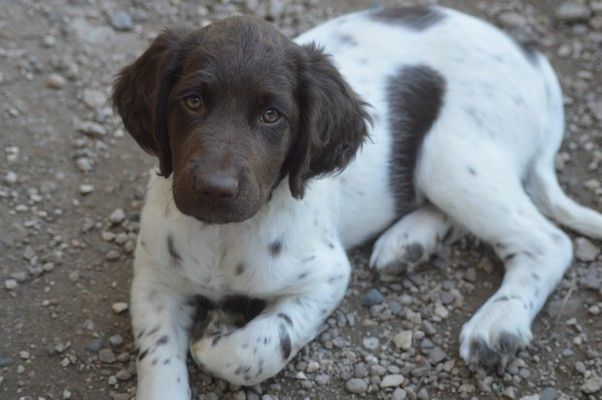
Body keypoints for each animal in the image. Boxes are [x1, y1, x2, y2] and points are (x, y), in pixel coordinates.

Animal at [111, 4, 600, 398]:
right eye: (192, 101)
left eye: (271, 115)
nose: (214, 187)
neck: (222, 235)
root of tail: (531, 58)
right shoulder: (155, 279)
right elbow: (158, 359)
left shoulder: (326, 275)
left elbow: (258, 349)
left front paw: (214, 337)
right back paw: (409, 244)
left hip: (451, 156)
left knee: (548, 241)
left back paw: (497, 325)